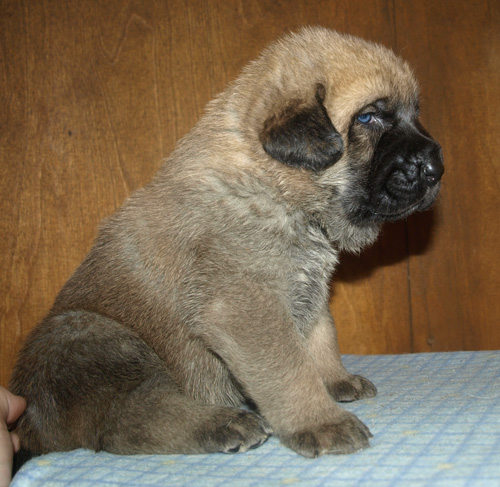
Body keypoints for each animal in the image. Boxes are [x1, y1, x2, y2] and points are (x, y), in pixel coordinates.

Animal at [9, 27, 444, 466]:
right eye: (369, 117)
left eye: (414, 113)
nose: (436, 167)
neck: (275, 186)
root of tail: (31, 428)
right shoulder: (244, 306)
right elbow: (288, 370)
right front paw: (322, 422)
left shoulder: (308, 289)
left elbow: (321, 337)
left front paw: (336, 379)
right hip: (92, 337)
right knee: (130, 419)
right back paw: (224, 423)